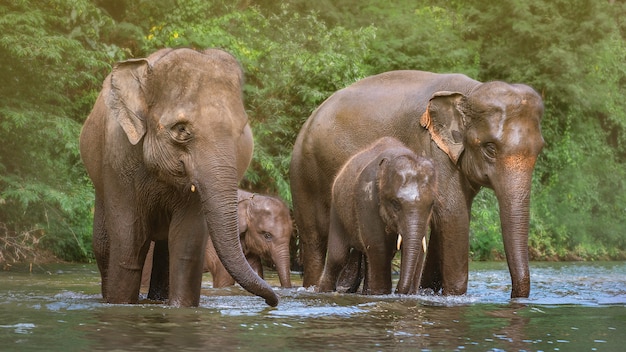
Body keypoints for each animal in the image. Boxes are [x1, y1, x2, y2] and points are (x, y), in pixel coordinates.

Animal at [80, 48, 278, 306]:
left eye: (242, 130)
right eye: (182, 130)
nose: (272, 302)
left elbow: (186, 245)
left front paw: (179, 308)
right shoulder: (118, 160)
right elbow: (130, 243)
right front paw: (121, 304)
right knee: (104, 246)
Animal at [316, 136, 434, 296]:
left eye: (431, 204)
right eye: (395, 203)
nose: (398, 291)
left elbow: (421, 250)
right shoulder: (366, 198)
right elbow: (379, 247)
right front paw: (381, 293)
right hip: (337, 211)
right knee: (338, 257)